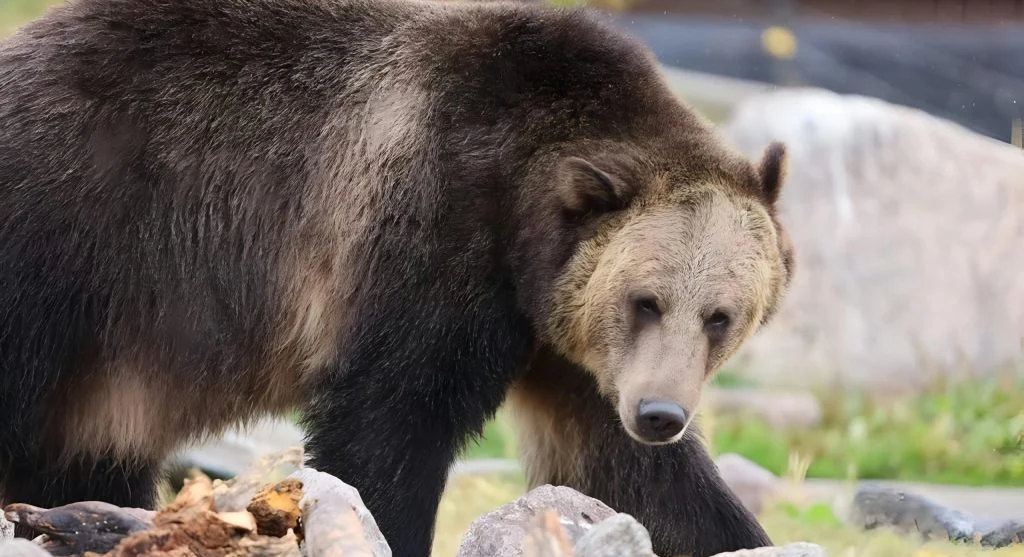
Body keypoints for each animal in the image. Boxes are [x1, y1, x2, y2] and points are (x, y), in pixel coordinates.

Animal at [0, 0, 795, 555]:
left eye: (721, 316)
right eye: (645, 300)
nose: (662, 413)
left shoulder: (566, 344)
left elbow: (633, 475)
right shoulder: (434, 231)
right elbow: (390, 423)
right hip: (77, 250)